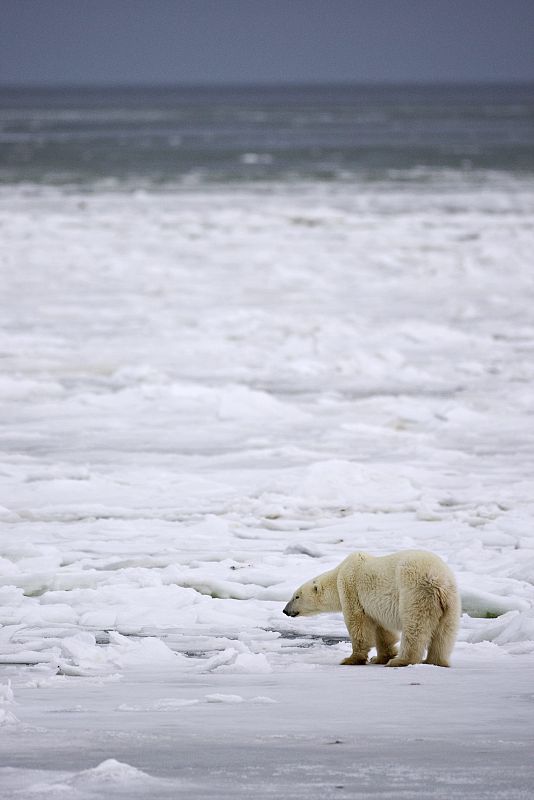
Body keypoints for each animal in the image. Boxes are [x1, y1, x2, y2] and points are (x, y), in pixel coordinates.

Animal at [283, 550, 460, 667]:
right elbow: (383, 631)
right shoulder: (376, 607)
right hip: (450, 603)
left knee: (415, 628)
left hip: (415, 594)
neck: (339, 572)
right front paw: (380, 657)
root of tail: (439, 581)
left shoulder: (350, 588)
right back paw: (434, 661)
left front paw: (351, 659)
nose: (285, 610)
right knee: (444, 634)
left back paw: (401, 661)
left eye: (296, 596)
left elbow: (357, 623)